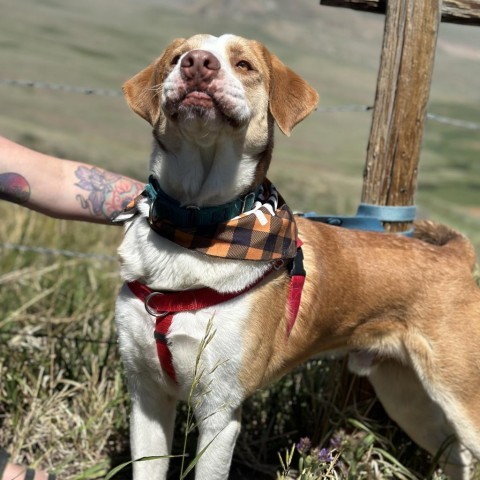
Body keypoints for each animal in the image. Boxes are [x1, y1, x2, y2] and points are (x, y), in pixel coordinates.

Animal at [116, 34, 480, 480]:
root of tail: (455, 256)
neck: (196, 225)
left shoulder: (220, 410)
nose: (197, 63)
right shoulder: (147, 397)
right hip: (405, 394)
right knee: (454, 455)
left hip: (459, 391)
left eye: (244, 64)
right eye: (175, 59)